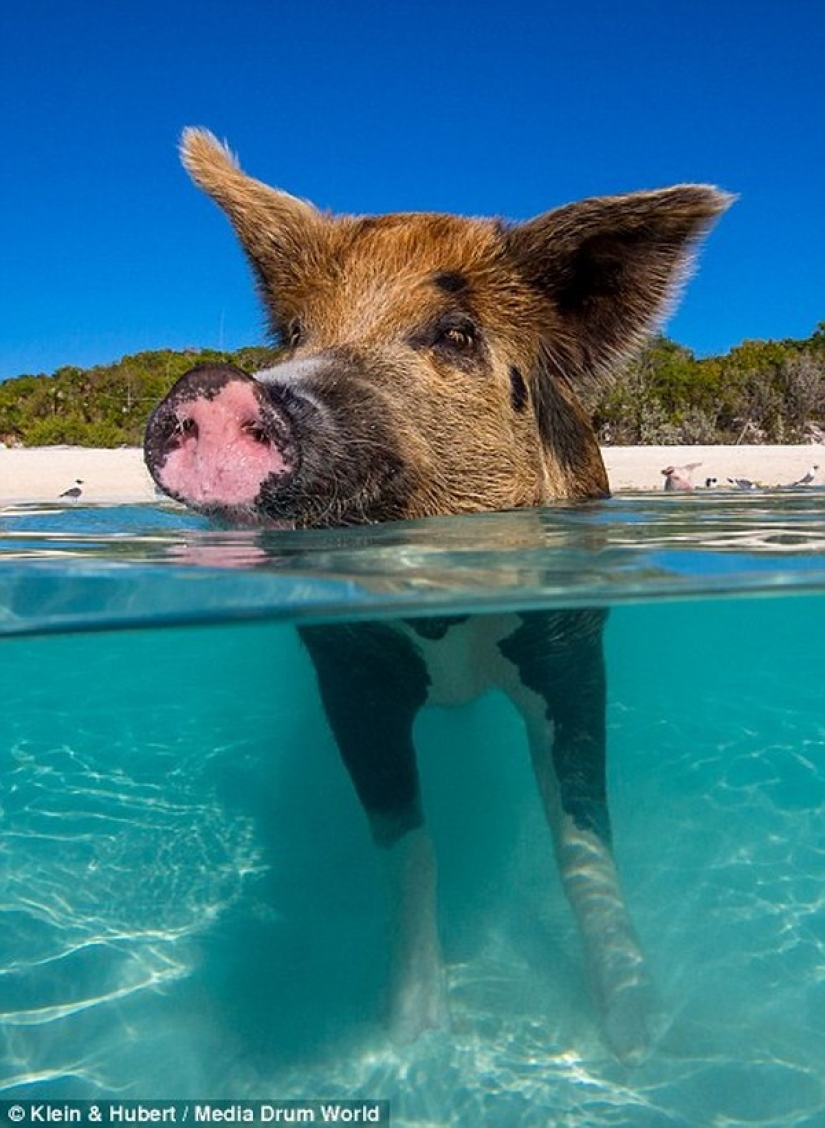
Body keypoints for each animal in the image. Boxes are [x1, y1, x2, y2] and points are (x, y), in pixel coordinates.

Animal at [144, 128, 730, 1062]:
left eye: (454, 334)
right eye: (296, 331)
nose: (212, 384)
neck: (445, 624)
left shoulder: (570, 645)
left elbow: (581, 838)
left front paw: (638, 1042)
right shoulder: (345, 667)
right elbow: (404, 842)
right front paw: (412, 1041)